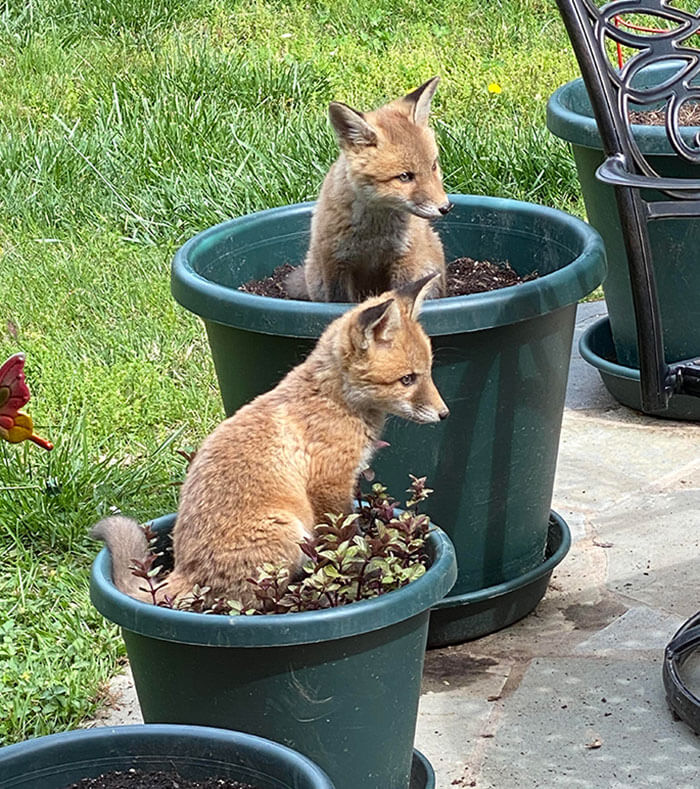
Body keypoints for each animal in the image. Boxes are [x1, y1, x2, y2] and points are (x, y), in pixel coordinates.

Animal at [91, 273, 449, 608]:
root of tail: (184, 571)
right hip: (287, 531)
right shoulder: (329, 484)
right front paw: (357, 568)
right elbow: (345, 538)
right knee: (255, 602)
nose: (445, 414)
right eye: (407, 379)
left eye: (429, 372)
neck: (334, 401)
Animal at [286, 76, 452, 303]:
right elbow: (340, 301)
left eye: (433, 166)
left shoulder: (404, 258)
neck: (375, 233)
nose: (446, 207)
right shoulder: (336, 262)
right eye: (405, 176)